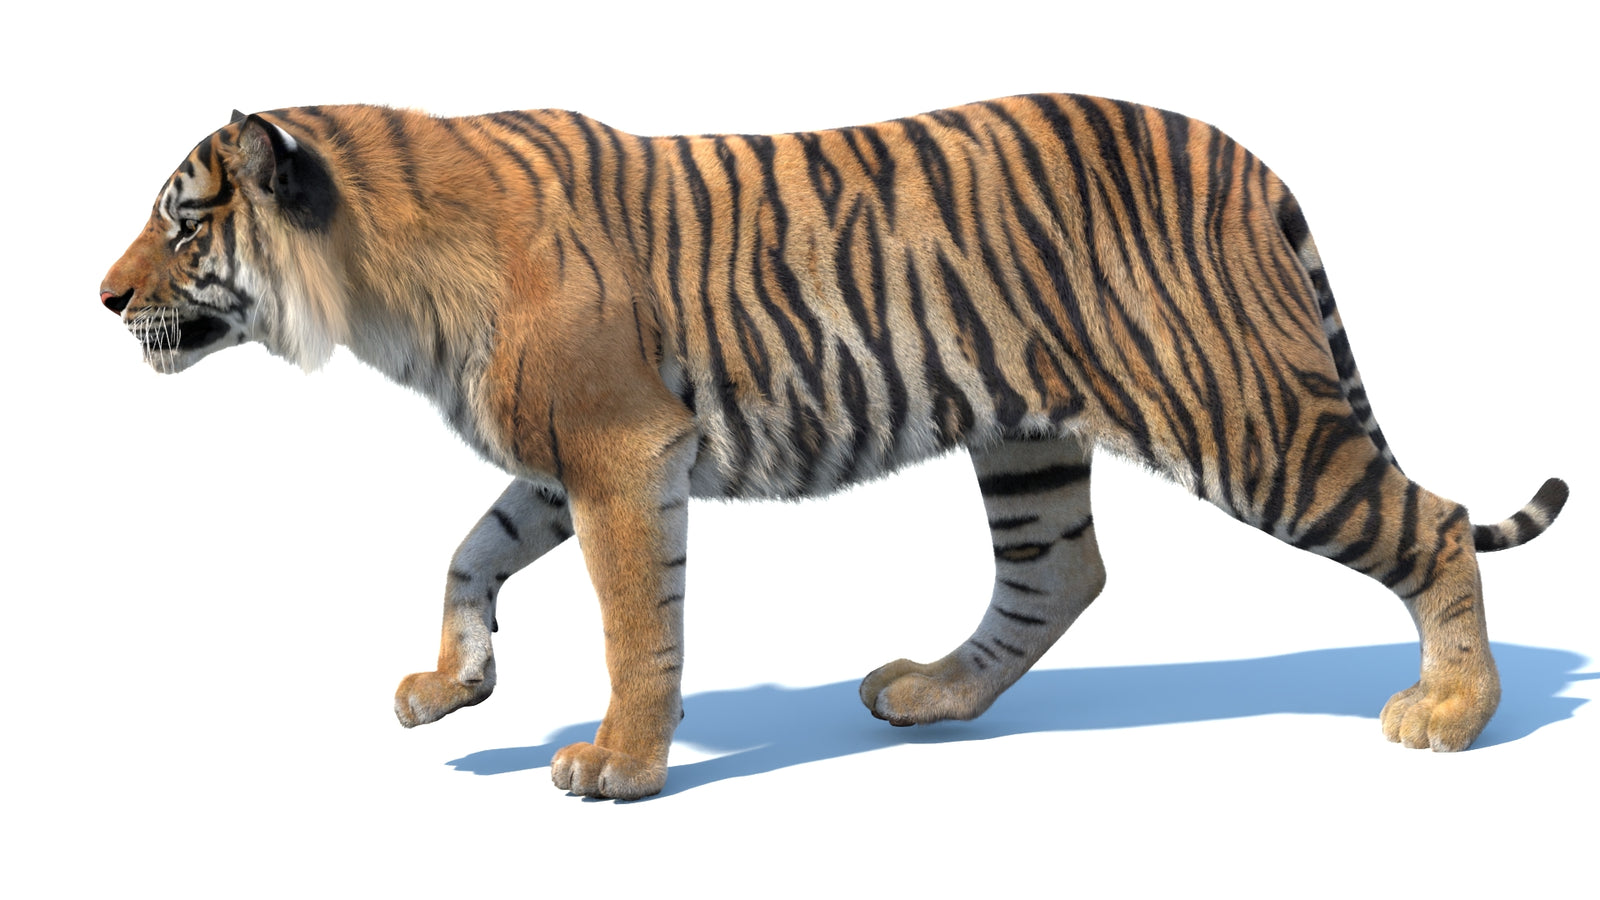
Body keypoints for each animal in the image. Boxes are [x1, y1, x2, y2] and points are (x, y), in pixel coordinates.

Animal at [101, 95, 1568, 800]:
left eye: (182, 221)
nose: (102, 299)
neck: (376, 280)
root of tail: (1248, 159)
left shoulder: (624, 451)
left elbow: (636, 623)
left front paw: (618, 766)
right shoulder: (565, 457)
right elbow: (469, 553)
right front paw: (453, 685)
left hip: (1245, 413)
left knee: (1430, 523)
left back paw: (1452, 713)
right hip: (1028, 438)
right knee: (1059, 574)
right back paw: (929, 694)